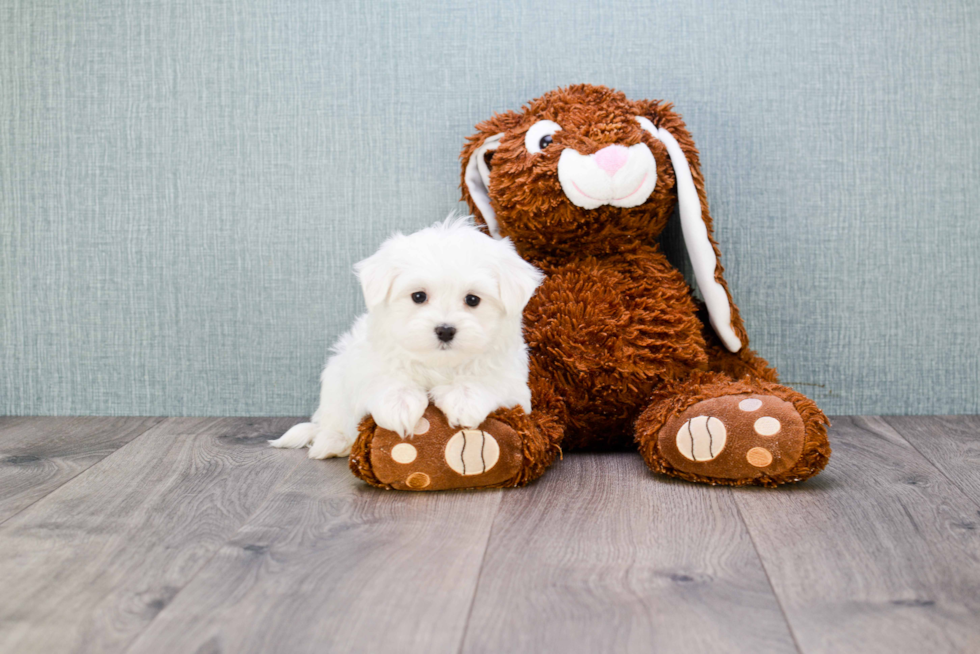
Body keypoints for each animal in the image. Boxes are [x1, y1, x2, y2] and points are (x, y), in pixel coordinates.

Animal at [268, 217, 544, 462]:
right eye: (418, 296)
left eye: (473, 300)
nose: (445, 330)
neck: (438, 364)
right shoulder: (366, 361)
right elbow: (385, 377)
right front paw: (399, 404)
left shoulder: (513, 382)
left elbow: (488, 380)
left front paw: (464, 398)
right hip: (335, 379)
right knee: (333, 418)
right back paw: (331, 442)